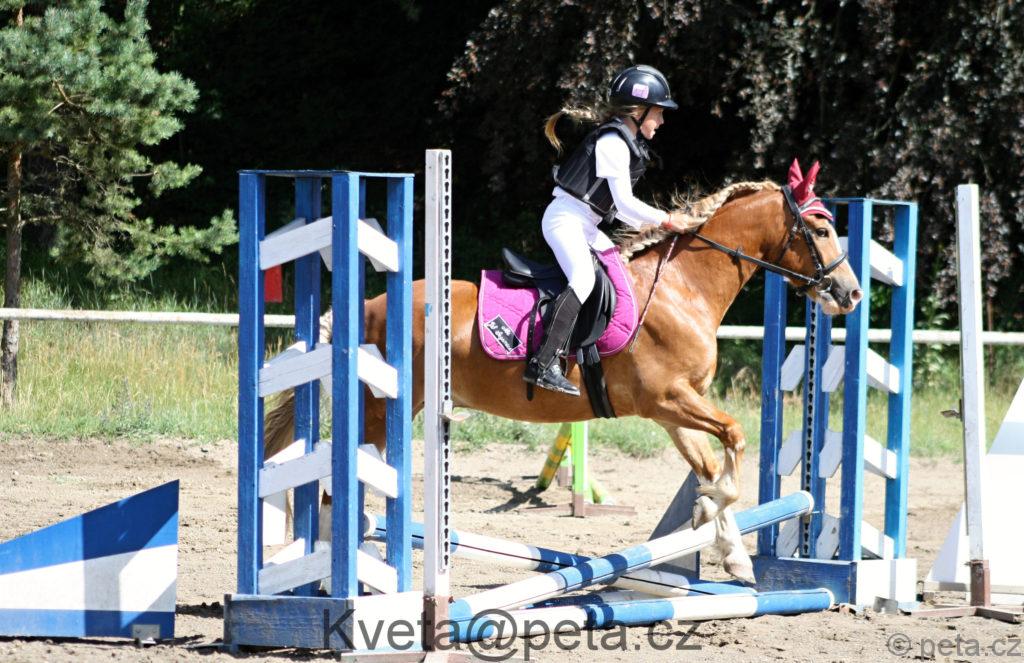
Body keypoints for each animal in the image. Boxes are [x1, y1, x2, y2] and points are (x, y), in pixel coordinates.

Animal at [263, 166, 862, 583]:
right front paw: (713, 522)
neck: (684, 287)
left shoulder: (675, 410)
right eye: (820, 229)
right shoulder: (667, 399)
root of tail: (365, 307)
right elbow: (733, 440)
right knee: (337, 490)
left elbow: (712, 466)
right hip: (381, 408)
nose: (851, 294)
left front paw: (728, 548)